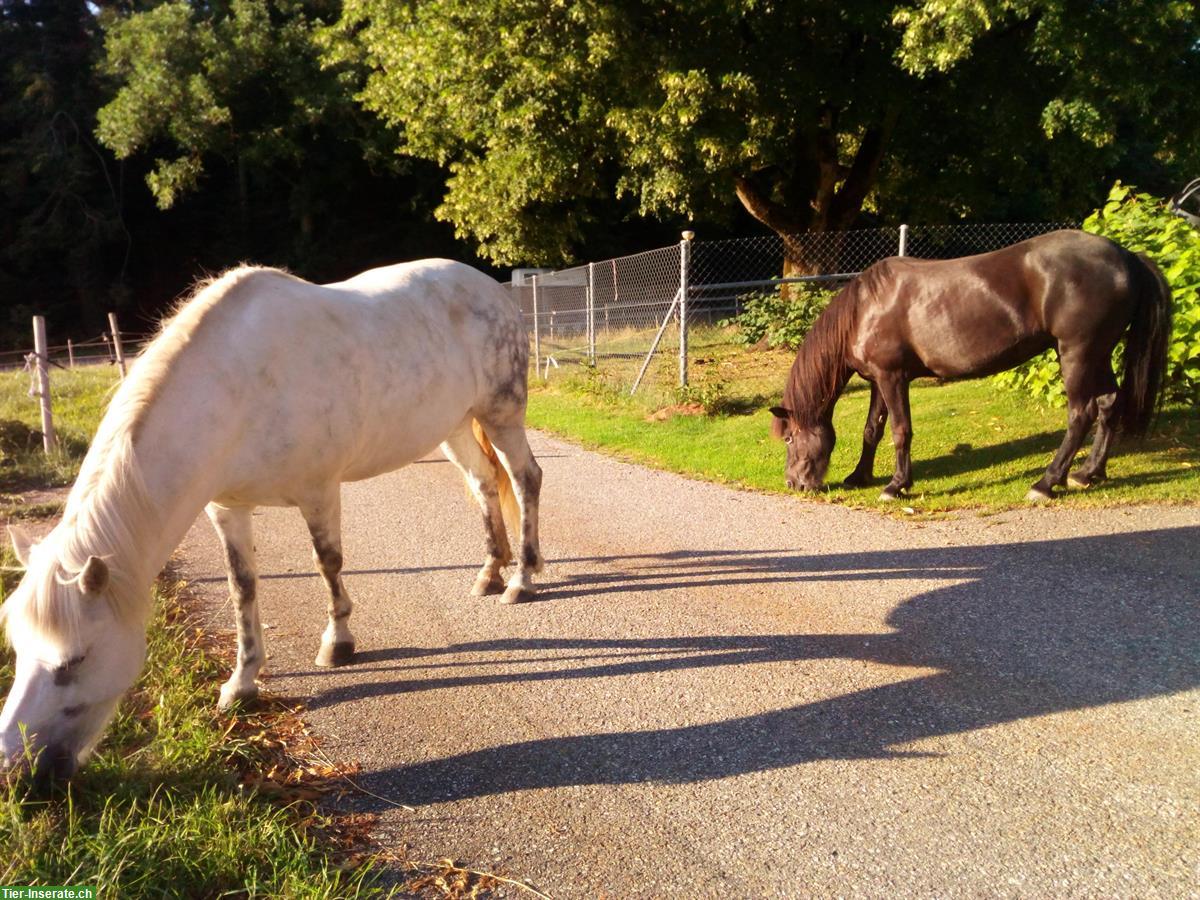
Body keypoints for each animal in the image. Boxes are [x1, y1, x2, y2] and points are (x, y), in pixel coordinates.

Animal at [0, 260, 544, 782]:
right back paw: (490, 573)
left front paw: (337, 644)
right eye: (18, 648)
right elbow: (242, 589)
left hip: (501, 415)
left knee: (525, 479)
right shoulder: (227, 509)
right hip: (455, 424)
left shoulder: (318, 492)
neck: (237, 388)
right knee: (483, 483)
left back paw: (521, 579)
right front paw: (241, 685)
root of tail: (488, 289)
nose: (15, 770)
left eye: (74, 660)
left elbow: (328, 564)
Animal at [768, 229, 1171, 504]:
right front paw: (859, 476)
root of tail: (1127, 257)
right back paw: (1089, 473)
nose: (794, 483)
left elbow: (900, 430)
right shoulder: (877, 380)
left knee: (1081, 413)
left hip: (1077, 354)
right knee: (1108, 403)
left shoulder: (893, 378)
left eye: (788, 437)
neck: (865, 308)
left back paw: (1046, 483)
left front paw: (897, 485)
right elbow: (872, 430)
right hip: (1098, 354)